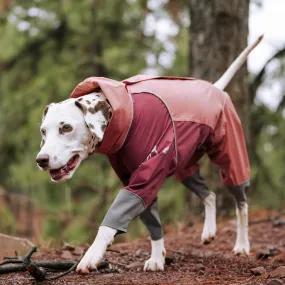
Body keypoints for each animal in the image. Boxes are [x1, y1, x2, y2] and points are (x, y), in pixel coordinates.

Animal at [36, 34, 262, 272]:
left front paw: (92, 255)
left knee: (241, 203)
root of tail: (216, 88)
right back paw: (209, 231)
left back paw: (242, 245)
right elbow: (153, 222)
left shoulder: (146, 176)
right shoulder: (134, 179)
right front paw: (157, 258)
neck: (129, 115)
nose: (41, 160)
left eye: (66, 127)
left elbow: (112, 220)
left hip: (231, 156)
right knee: (209, 195)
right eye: (43, 131)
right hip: (185, 168)